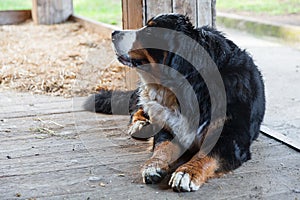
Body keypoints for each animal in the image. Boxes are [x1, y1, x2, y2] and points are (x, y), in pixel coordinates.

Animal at [84, 13, 264, 191]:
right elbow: (162, 147)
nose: (114, 33)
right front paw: (153, 165)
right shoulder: (168, 128)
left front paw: (187, 173)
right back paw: (140, 124)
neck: (190, 86)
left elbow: (205, 155)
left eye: (150, 32)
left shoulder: (230, 136)